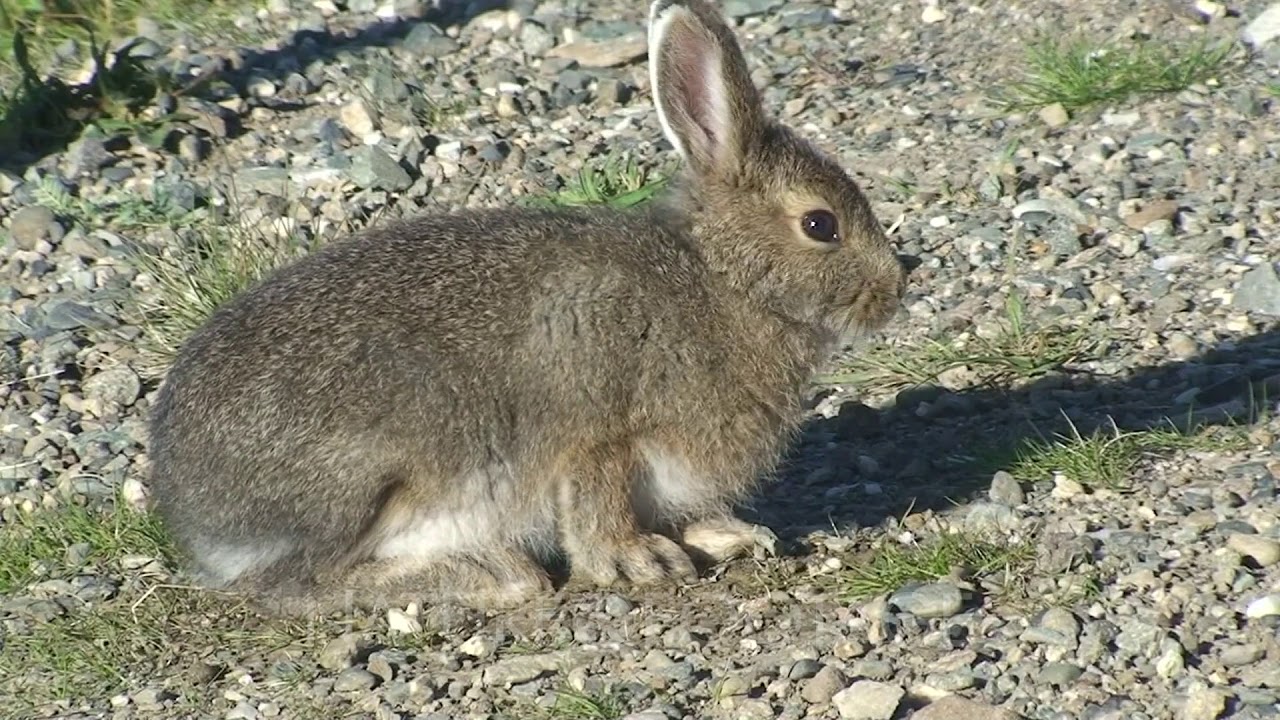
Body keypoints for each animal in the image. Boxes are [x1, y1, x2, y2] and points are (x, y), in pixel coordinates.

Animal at [145, 0, 911, 617]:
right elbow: (597, 509)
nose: (895, 292)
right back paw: (492, 573)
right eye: (820, 225)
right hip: (363, 481)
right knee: (293, 586)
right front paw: (642, 561)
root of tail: (191, 508)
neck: (721, 280)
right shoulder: (598, 433)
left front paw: (728, 535)